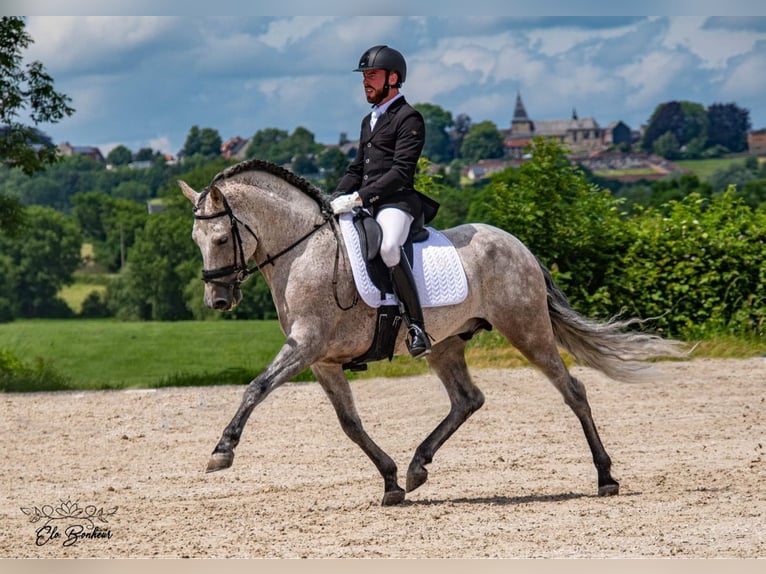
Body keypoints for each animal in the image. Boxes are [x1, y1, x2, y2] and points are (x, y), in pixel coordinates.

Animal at [182, 160, 688, 506]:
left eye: (222, 239)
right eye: (196, 241)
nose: (218, 301)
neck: (303, 250)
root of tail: (516, 244)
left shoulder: (305, 346)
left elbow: (256, 387)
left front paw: (222, 451)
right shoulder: (322, 361)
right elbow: (350, 424)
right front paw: (390, 481)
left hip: (527, 330)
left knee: (573, 391)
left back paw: (606, 477)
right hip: (445, 345)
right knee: (467, 399)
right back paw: (416, 467)